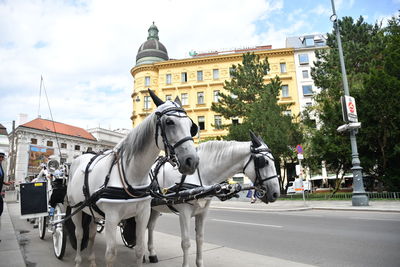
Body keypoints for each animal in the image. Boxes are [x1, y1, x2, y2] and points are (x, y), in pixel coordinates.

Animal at [67, 90, 202, 267]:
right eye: (169, 122)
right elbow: (110, 254)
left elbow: (139, 250)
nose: (191, 161)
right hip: (75, 209)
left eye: (191, 126)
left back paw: (91, 260)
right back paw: (77, 260)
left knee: (91, 233)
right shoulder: (111, 218)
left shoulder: (142, 214)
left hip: (90, 210)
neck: (132, 175)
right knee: (79, 233)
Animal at [145, 133, 280, 267]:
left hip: (155, 208)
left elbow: (200, 239)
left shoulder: (203, 212)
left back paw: (151, 253)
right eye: (264, 161)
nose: (275, 193)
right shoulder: (184, 214)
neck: (199, 176)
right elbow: (186, 243)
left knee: (150, 227)